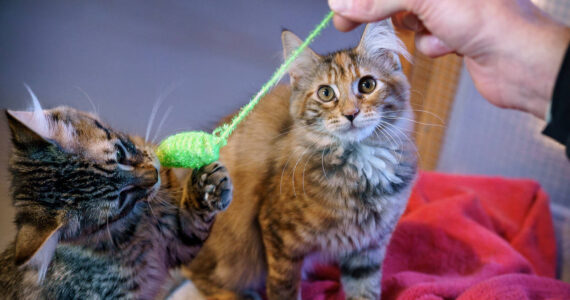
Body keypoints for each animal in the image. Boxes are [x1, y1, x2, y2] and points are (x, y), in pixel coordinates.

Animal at [0, 99, 231, 298]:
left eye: (120, 154)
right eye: (121, 198)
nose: (154, 176)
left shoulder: (177, 237)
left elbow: (194, 218)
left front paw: (209, 185)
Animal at [189, 20, 414, 300]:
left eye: (367, 85)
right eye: (326, 93)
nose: (351, 113)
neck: (359, 166)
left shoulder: (367, 249)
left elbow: (365, 291)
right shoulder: (279, 235)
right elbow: (284, 289)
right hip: (238, 254)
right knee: (197, 274)